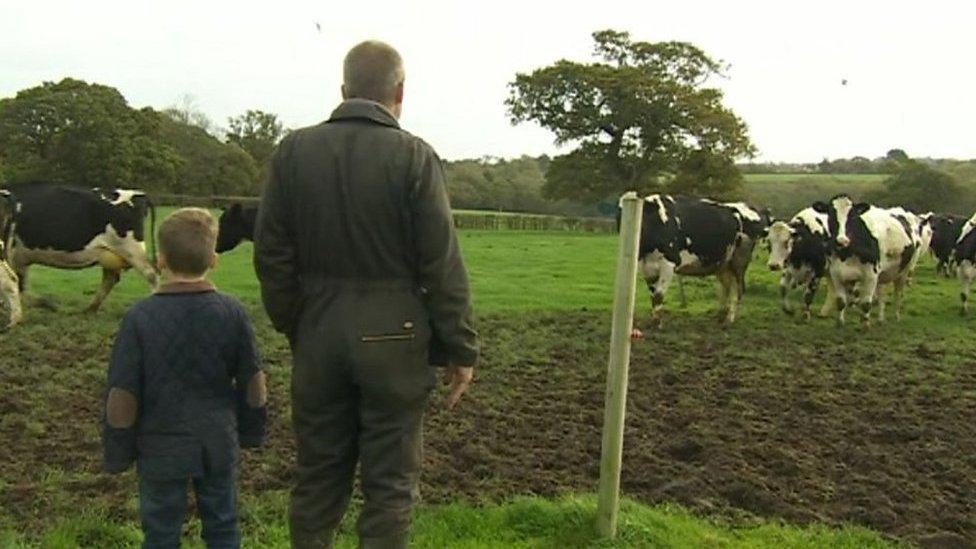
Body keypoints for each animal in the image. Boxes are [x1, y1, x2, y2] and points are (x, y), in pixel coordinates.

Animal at [5, 183, 158, 312]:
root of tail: (139, 193)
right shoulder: (20, 258)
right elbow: (19, 285)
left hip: (132, 249)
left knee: (151, 274)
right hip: (109, 253)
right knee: (110, 278)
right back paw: (90, 309)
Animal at [632, 195, 772, 324]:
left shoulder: (669, 263)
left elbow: (658, 294)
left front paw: (657, 323)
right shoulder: (647, 267)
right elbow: (653, 294)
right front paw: (654, 319)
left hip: (739, 261)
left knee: (739, 289)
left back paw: (729, 319)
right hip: (724, 264)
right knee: (727, 286)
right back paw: (720, 315)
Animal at [816, 195, 924, 324]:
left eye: (853, 216)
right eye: (831, 215)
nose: (842, 241)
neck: (847, 253)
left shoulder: (871, 275)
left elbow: (866, 304)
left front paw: (865, 324)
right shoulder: (837, 274)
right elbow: (841, 302)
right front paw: (840, 322)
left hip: (904, 271)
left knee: (898, 294)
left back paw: (896, 317)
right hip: (882, 274)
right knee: (881, 294)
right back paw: (880, 319)